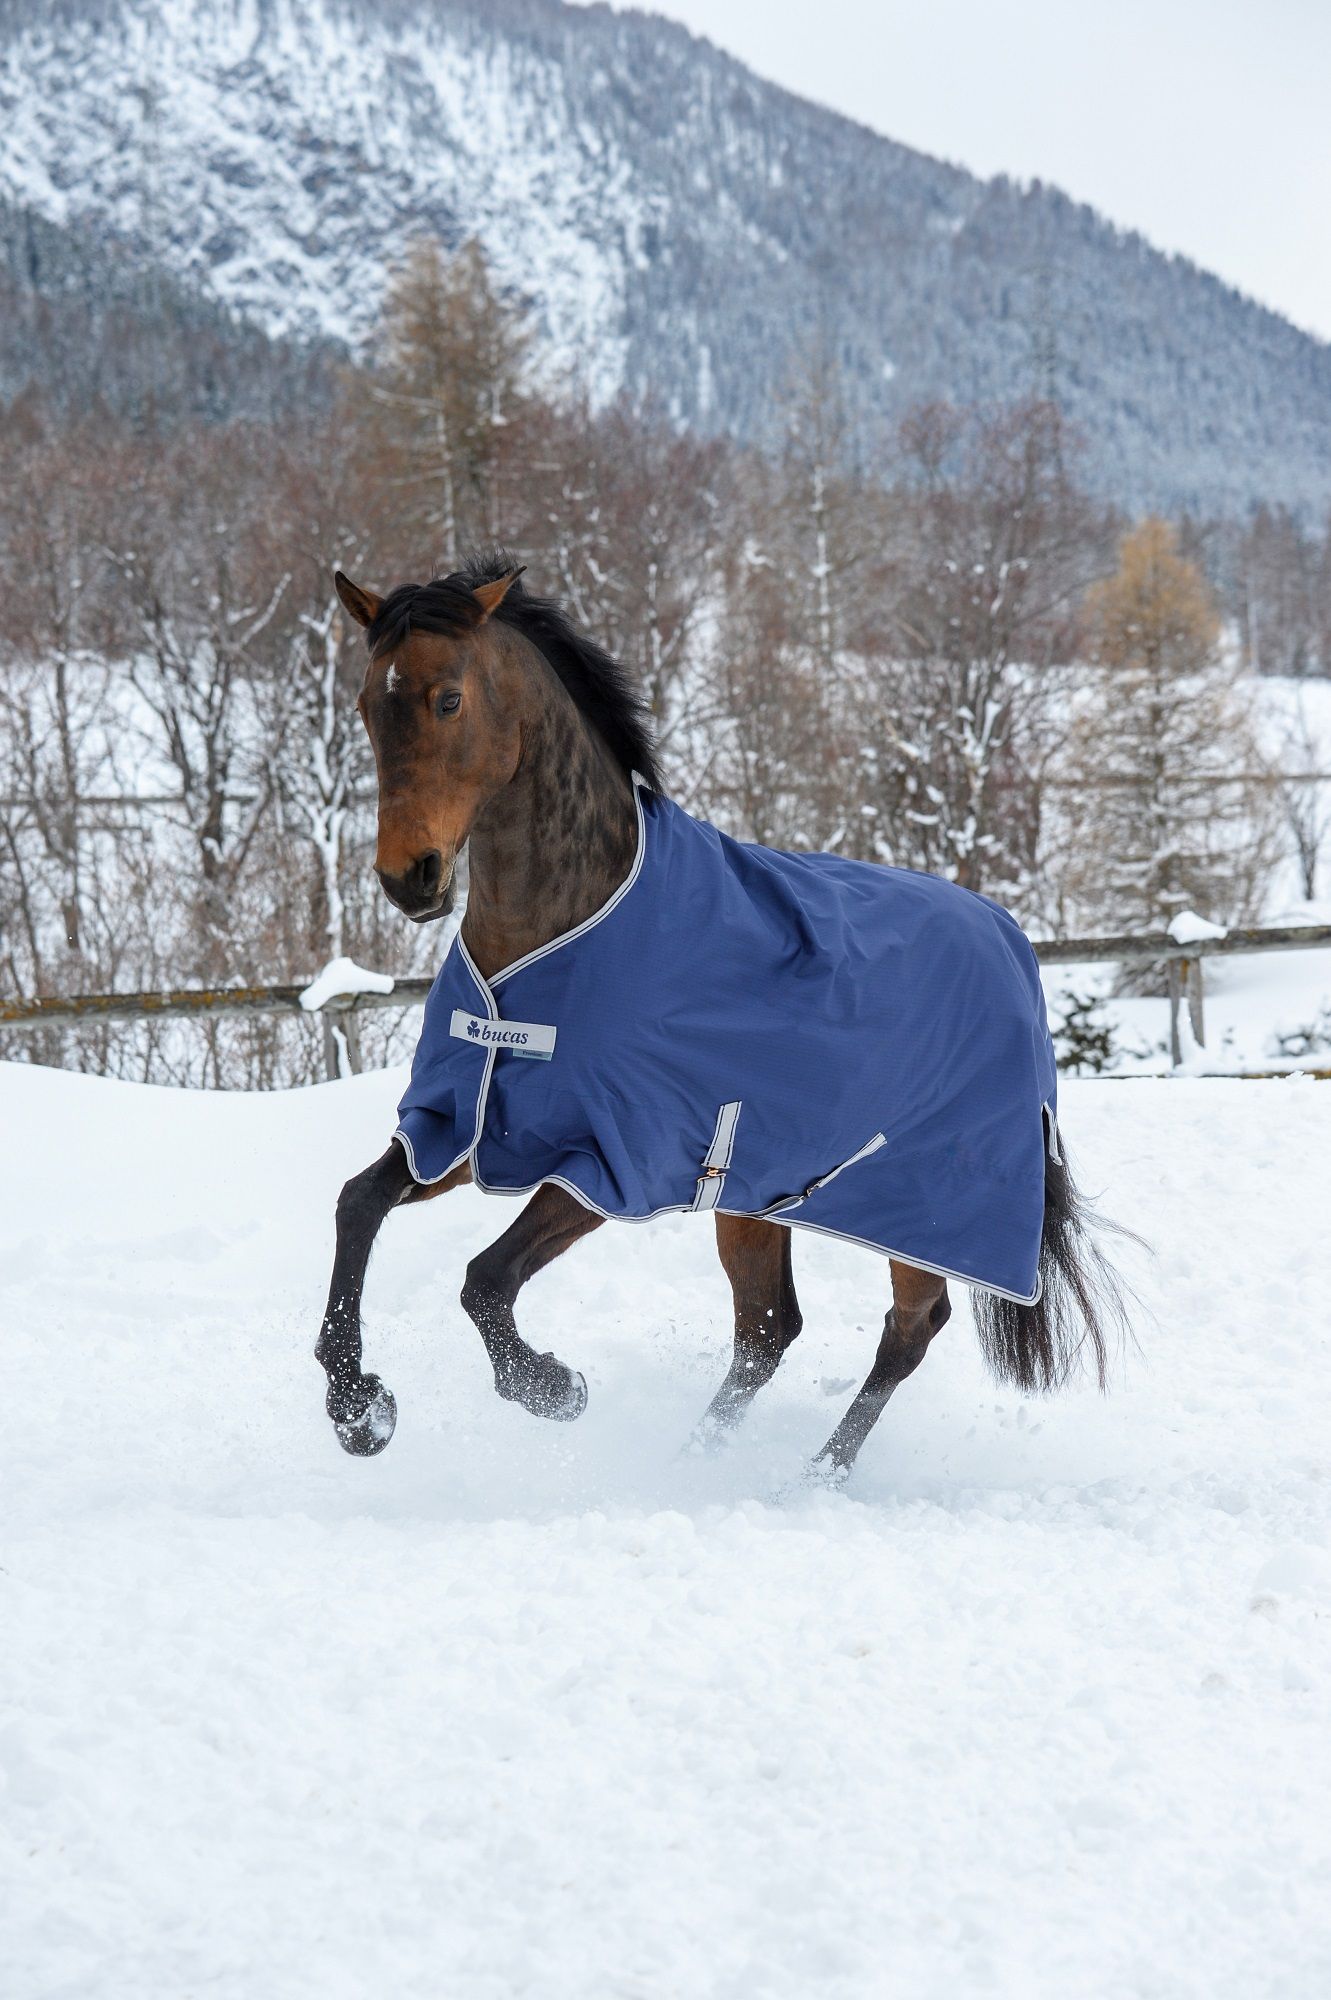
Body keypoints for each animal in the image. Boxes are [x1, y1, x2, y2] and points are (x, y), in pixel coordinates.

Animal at [314, 554, 1125, 1477]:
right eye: (366, 703)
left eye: (447, 698)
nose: (406, 876)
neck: (553, 938)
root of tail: (1010, 940)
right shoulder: (468, 1127)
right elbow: (357, 1204)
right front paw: (359, 1410)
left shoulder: (609, 1162)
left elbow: (484, 1280)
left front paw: (554, 1388)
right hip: (757, 1196)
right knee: (767, 1332)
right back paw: (693, 1461)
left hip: (925, 1206)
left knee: (909, 1328)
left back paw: (814, 1476)